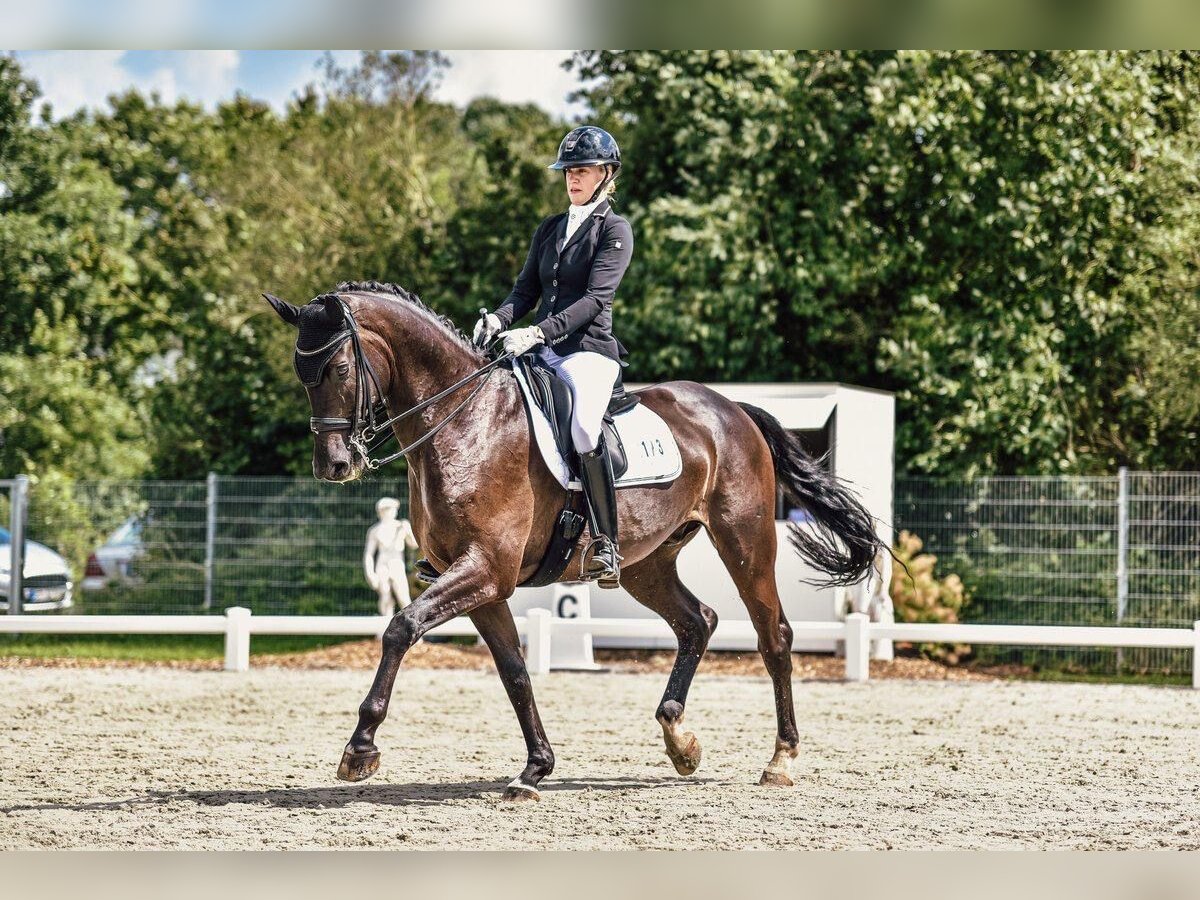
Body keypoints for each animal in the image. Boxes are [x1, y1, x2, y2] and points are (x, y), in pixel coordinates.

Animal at [265, 282, 883, 801]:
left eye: (339, 367)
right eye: (301, 373)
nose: (334, 466)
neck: (464, 422)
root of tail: (733, 409)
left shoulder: (484, 568)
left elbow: (400, 627)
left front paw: (360, 749)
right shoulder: (481, 582)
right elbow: (514, 670)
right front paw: (534, 769)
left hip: (745, 540)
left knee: (773, 636)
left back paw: (781, 760)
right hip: (646, 563)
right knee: (697, 621)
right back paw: (680, 740)